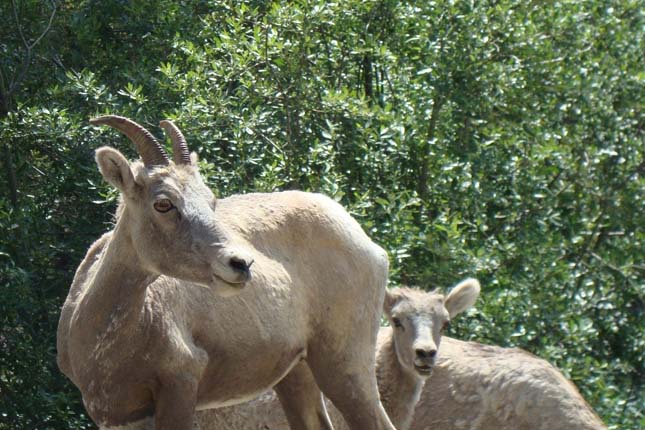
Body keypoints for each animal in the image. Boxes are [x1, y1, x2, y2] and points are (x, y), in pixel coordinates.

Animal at [56, 115, 398, 430]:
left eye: (211, 200)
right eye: (163, 203)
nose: (240, 264)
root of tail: (371, 247)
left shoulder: (181, 384)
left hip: (345, 365)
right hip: (297, 374)